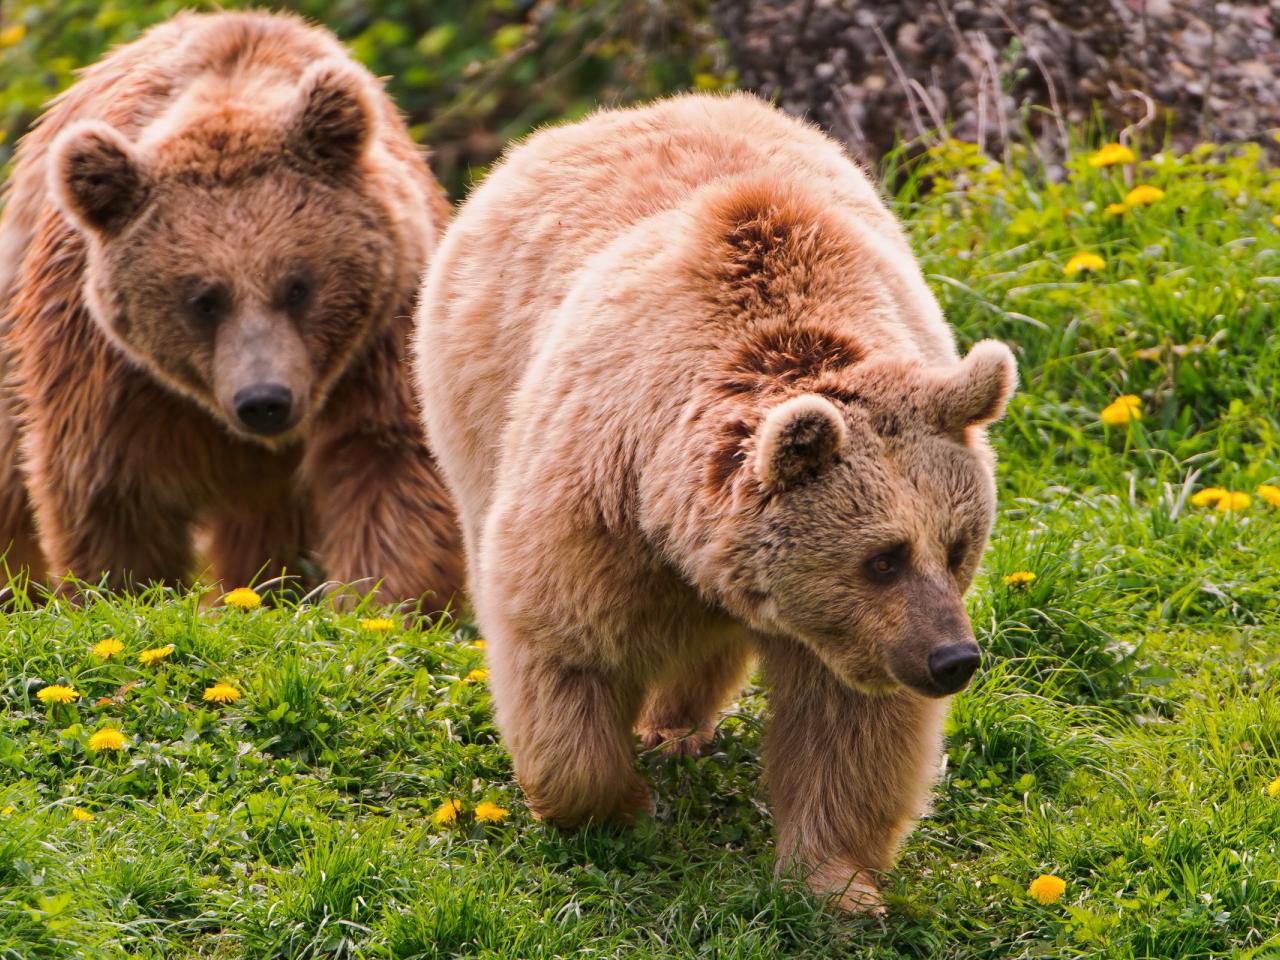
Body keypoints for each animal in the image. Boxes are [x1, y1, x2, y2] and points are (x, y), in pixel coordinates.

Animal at [414, 94, 1013, 911]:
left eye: (957, 547)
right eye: (882, 558)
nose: (953, 658)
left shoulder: (849, 635)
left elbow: (851, 729)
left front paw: (837, 883)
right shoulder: (599, 502)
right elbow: (564, 645)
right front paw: (615, 806)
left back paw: (680, 723)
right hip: (474, 399)